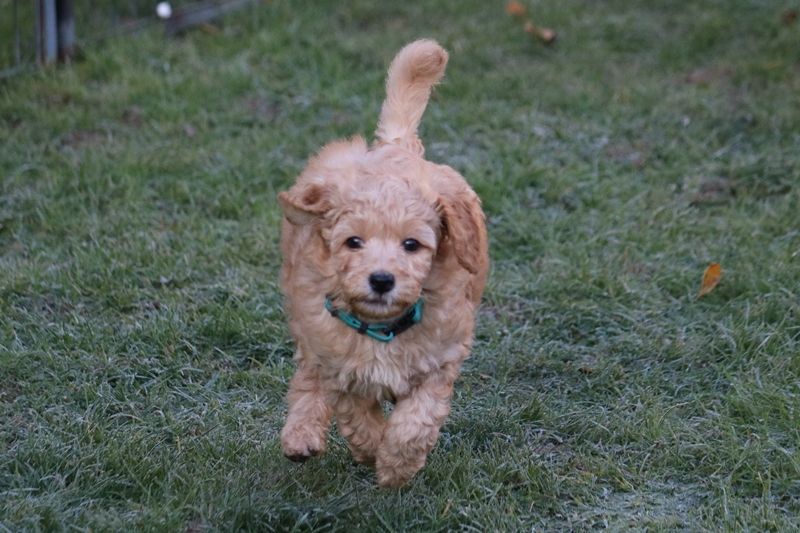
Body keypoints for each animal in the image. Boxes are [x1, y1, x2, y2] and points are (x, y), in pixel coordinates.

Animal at [277, 39, 489, 489]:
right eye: (353, 242)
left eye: (412, 245)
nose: (381, 280)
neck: (382, 330)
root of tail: (395, 146)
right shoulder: (338, 367)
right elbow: (358, 418)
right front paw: (374, 452)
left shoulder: (441, 360)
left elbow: (417, 420)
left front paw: (395, 467)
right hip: (304, 319)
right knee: (306, 377)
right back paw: (301, 435)